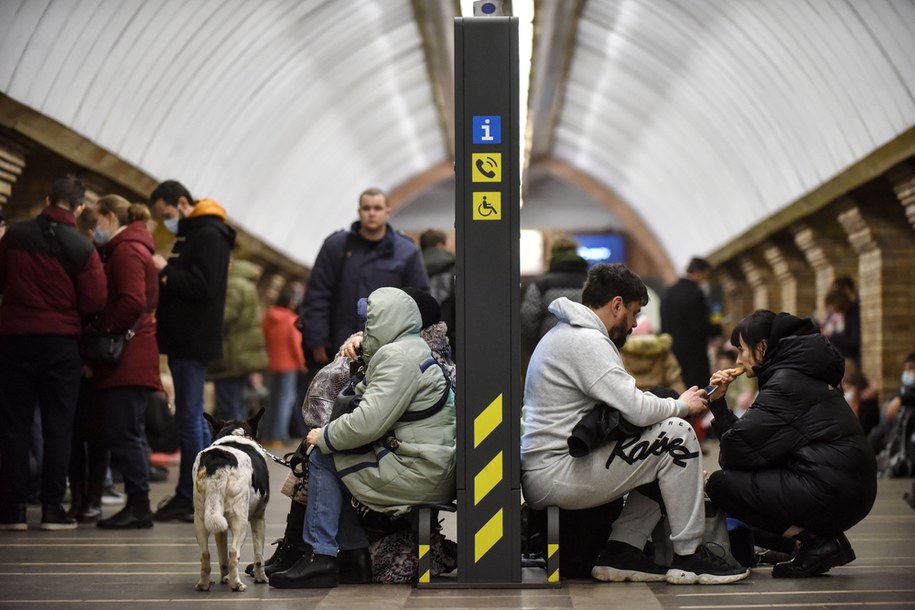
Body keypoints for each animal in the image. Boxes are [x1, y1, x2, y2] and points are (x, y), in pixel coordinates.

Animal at [195, 408, 270, 588]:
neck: (235, 434)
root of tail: (218, 461)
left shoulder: (220, 530)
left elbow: (222, 558)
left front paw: (224, 578)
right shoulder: (259, 518)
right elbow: (259, 556)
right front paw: (261, 578)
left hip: (201, 519)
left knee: (206, 554)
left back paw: (204, 584)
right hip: (240, 521)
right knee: (234, 552)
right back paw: (237, 584)